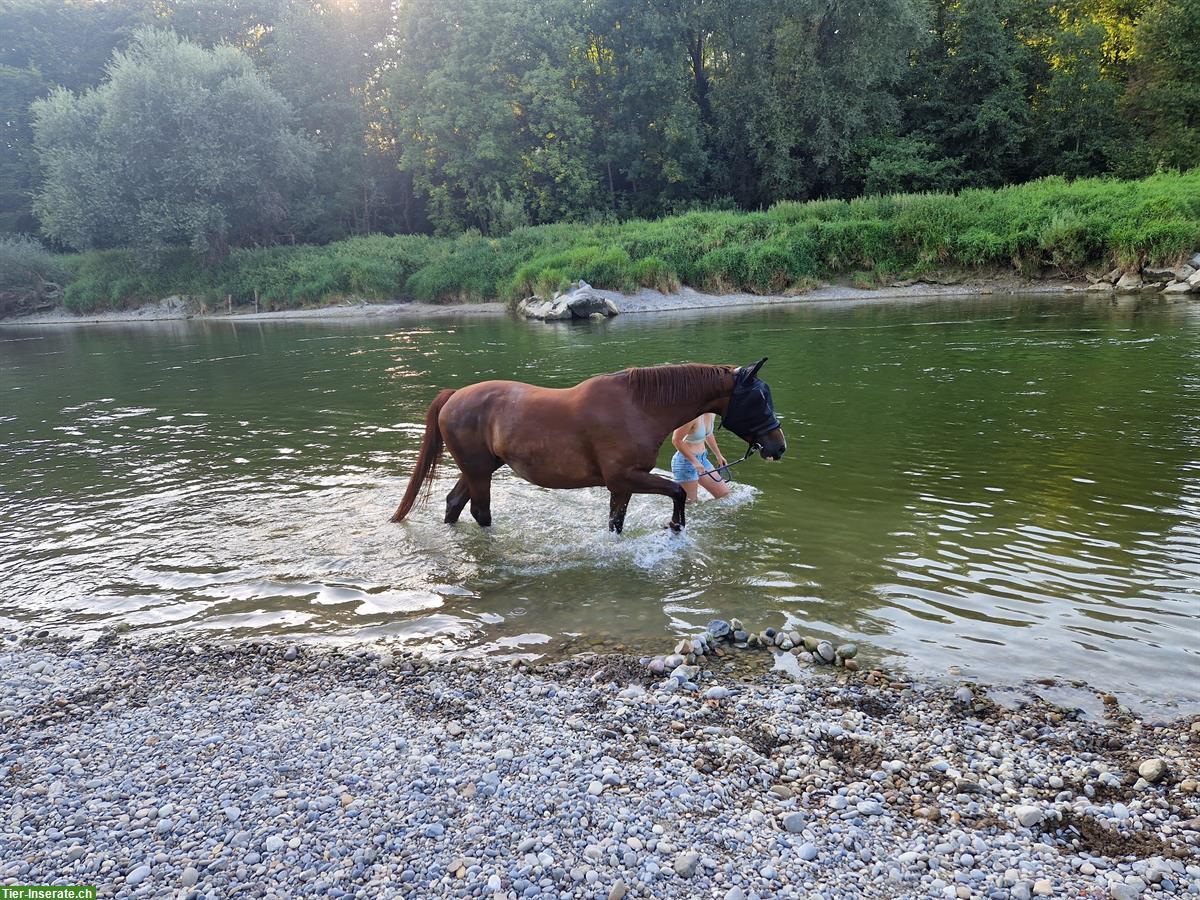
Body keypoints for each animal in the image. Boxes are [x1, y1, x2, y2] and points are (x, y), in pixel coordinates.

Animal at [393, 355, 787, 532]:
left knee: (454, 503)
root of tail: (454, 395)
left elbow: (616, 523)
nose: (778, 446)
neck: (638, 407)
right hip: (478, 472)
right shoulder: (624, 478)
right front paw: (675, 526)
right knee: (479, 511)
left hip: (480, 468)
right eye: (758, 399)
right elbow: (677, 491)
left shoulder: (623, 486)